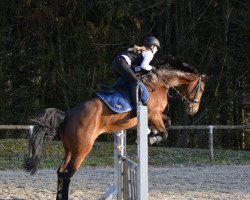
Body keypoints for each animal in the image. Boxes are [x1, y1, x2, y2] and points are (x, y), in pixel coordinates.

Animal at [24, 58, 209, 199]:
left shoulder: (156, 116)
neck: (159, 83)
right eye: (201, 89)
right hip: (82, 150)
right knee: (67, 174)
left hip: (70, 150)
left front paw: (152, 133)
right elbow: (164, 132)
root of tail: (67, 114)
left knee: (60, 171)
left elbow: (168, 122)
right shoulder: (153, 114)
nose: (193, 110)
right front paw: (152, 137)